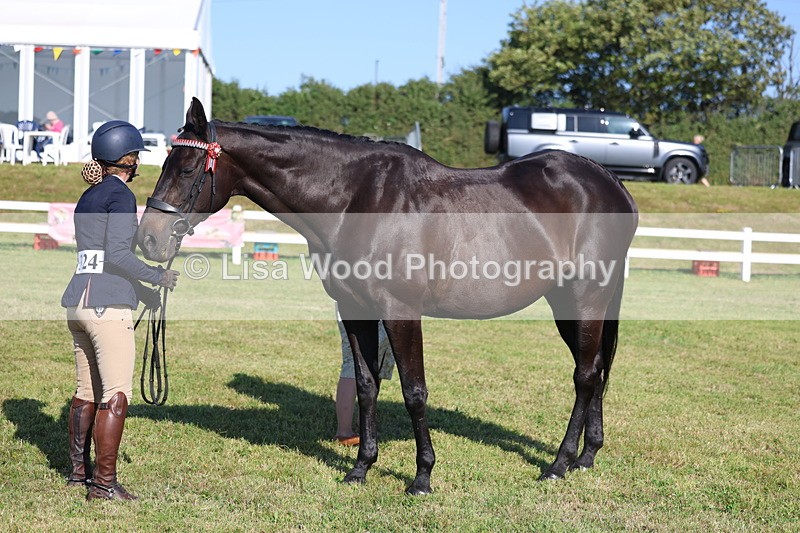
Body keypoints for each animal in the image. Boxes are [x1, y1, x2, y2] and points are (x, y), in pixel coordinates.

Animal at [137, 97, 639, 495]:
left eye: (185, 169)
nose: (148, 239)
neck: (356, 199)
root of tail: (610, 182)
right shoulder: (355, 309)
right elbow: (366, 386)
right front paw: (361, 468)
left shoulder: (401, 312)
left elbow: (414, 391)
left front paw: (422, 477)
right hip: (565, 304)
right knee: (596, 369)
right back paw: (587, 456)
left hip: (587, 298)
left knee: (584, 376)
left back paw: (559, 464)